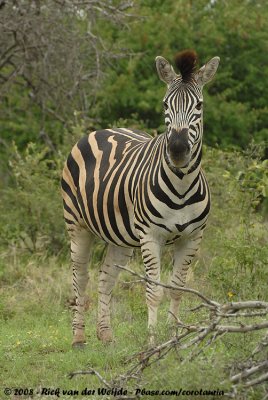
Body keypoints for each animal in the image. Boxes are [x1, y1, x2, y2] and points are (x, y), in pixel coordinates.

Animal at [61, 50, 220, 346]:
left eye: (199, 105)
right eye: (165, 104)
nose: (177, 149)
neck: (182, 184)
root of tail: (101, 130)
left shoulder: (193, 238)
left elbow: (177, 289)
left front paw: (174, 338)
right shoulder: (151, 236)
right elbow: (154, 291)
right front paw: (152, 343)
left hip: (121, 238)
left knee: (105, 277)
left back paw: (105, 335)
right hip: (76, 225)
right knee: (80, 278)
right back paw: (78, 337)